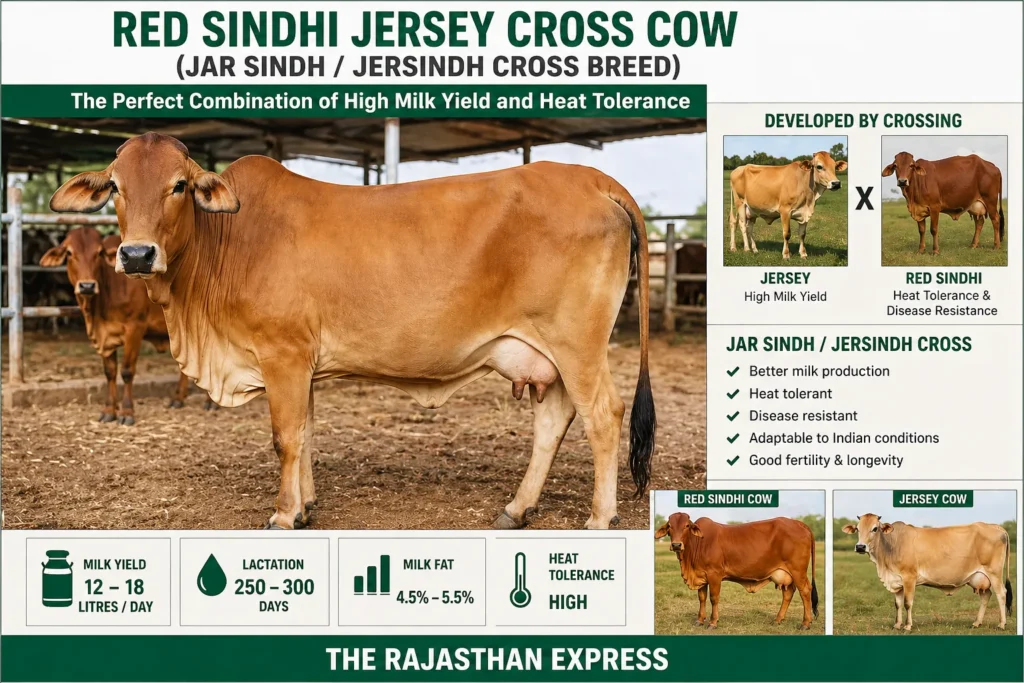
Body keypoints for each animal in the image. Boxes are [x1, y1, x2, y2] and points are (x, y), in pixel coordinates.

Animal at [39, 226, 215, 424]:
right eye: (69, 253)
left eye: (99, 253)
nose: (87, 286)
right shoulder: (105, 336)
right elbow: (109, 372)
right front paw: (109, 410)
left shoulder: (134, 329)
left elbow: (126, 371)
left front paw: (127, 411)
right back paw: (178, 398)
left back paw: (210, 402)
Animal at [655, 513, 818, 630]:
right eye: (669, 526)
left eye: (687, 525)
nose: (676, 545)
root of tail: (800, 523)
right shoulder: (701, 576)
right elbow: (701, 598)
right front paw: (699, 620)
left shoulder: (714, 575)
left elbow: (713, 598)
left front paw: (713, 623)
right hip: (786, 574)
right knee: (788, 593)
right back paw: (778, 620)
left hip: (798, 571)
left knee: (805, 591)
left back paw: (805, 623)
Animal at [842, 514, 1013, 631]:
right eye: (857, 529)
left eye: (875, 528)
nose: (860, 547)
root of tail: (997, 527)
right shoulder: (897, 581)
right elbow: (898, 604)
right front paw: (897, 625)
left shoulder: (909, 578)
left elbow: (907, 603)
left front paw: (907, 626)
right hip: (979, 577)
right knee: (986, 595)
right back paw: (976, 623)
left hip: (994, 573)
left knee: (1001, 594)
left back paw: (1001, 624)